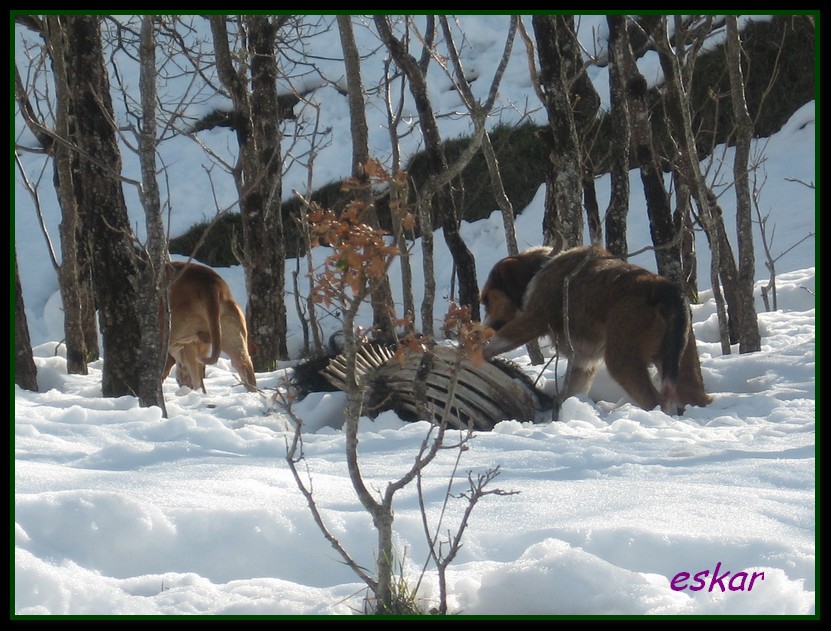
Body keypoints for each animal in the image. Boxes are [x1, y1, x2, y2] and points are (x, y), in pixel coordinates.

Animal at [480, 246, 716, 414]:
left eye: (487, 299)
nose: (485, 326)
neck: (541, 266)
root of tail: (662, 288)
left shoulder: (533, 318)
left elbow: (500, 341)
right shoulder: (582, 363)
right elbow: (572, 390)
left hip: (622, 361)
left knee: (657, 402)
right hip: (683, 362)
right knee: (696, 396)